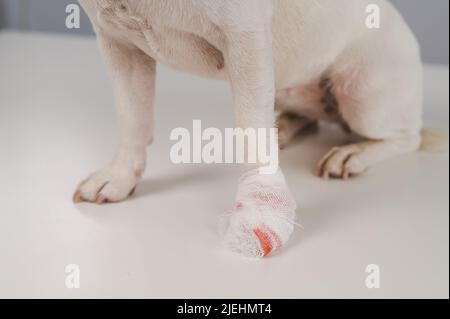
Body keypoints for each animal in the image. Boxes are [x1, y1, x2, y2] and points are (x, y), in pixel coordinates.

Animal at [73, 0, 442, 258]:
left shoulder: (244, 39)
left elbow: (252, 134)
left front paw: (258, 215)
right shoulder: (118, 43)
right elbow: (132, 117)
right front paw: (120, 177)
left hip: (363, 94)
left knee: (405, 137)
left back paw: (352, 154)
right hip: (287, 80)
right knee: (301, 116)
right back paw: (283, 127)